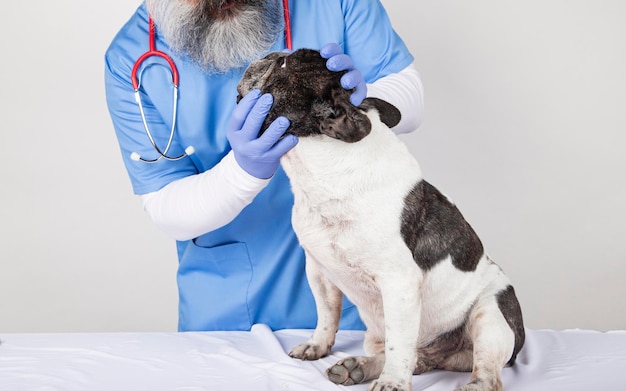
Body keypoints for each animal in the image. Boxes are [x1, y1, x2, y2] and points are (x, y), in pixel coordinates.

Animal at [236, 49, 524, 391]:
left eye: (283, 65)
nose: (271, 53)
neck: (323, 166)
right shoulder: (319, 271)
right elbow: (326, 314)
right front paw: (317, 345)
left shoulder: (398, 282)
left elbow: (399, 342)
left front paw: (393, 383)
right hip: (377, 336)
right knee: (403, 357)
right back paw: (357, 367)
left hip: (491, 315)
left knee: (485, 370)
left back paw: (472, 383)